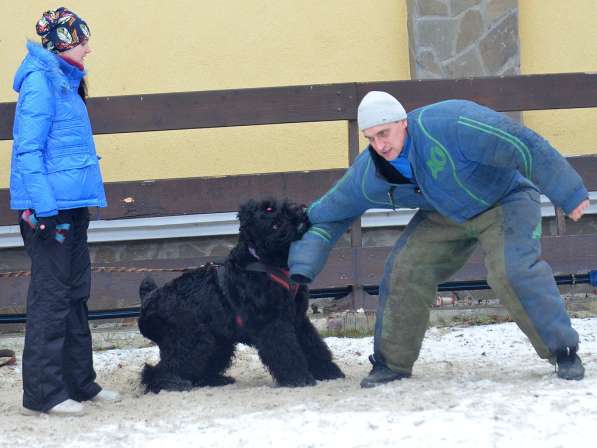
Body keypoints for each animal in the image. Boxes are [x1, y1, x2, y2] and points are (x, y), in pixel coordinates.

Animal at [137, 200, 342, 392]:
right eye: (274, 223)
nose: (299, 213)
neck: (264, 262)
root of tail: (149, 299)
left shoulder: (298, 320)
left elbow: (314, 346)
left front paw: (329, 372)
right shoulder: (273, 324)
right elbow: (287, 351)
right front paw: (299, 379)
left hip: (218, 343)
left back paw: (216, 380)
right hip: (193, 341)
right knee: (157, 370)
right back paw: (171, 384)